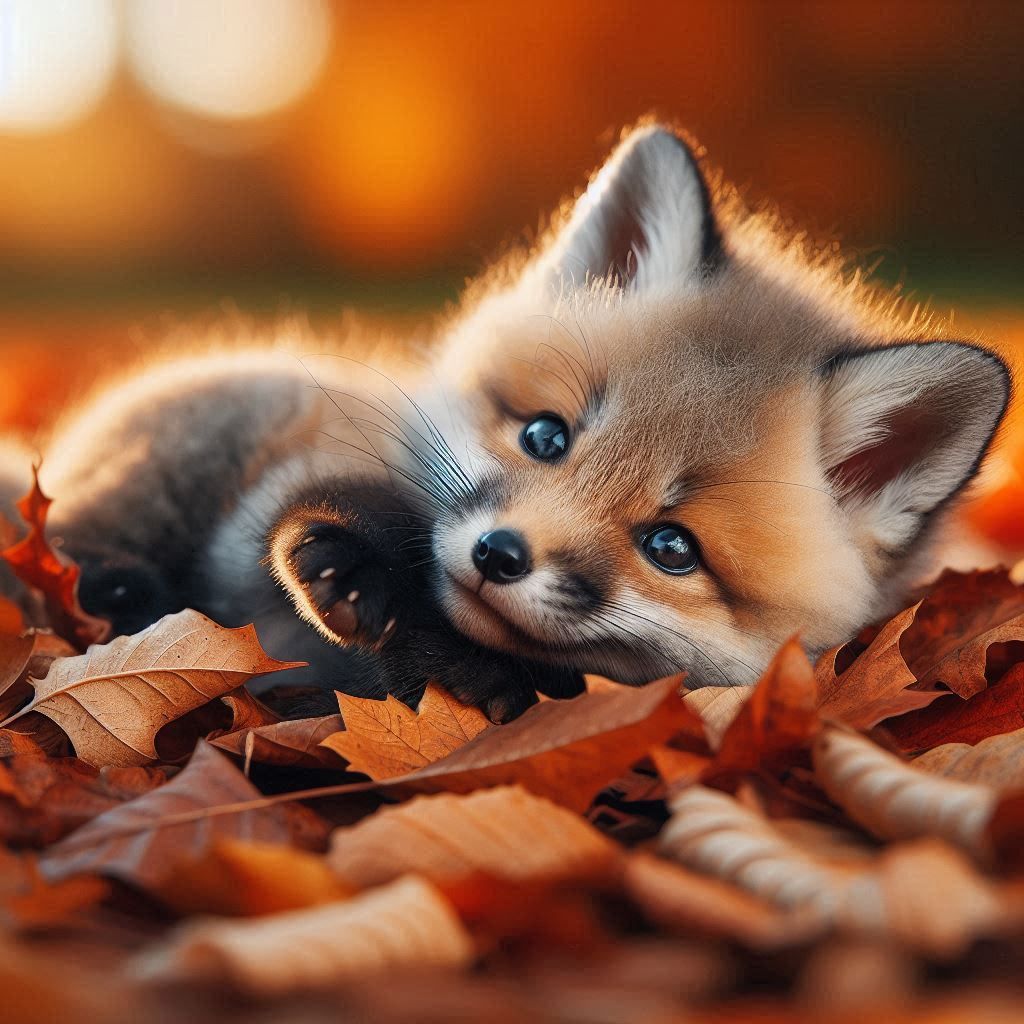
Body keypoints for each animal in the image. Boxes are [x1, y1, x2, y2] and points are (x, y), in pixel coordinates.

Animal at [0, 123, 1010, 722]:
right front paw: (348, 559)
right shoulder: (313, 466)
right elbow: (326, 513)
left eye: (672, 547)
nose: (500, 555)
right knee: (80, 545)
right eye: (545, 438)